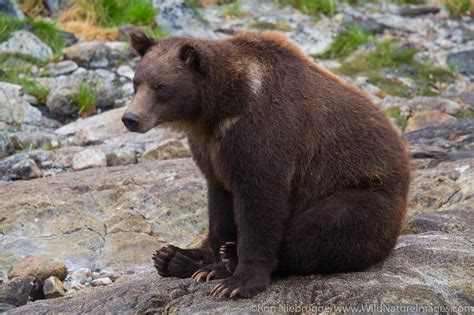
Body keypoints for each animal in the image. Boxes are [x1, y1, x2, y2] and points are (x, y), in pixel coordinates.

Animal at [123, 30, 412, 300]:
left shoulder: (263, 132)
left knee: (333, 225)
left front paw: (236, 282)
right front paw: (209, 266)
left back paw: (228, 256)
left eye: (161, 87)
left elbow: (260, 201)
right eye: (136, 83)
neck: (219, 110)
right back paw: (173, 257)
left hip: (365, 190)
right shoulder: (211, 150)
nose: (130, 118)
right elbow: (220, 203)